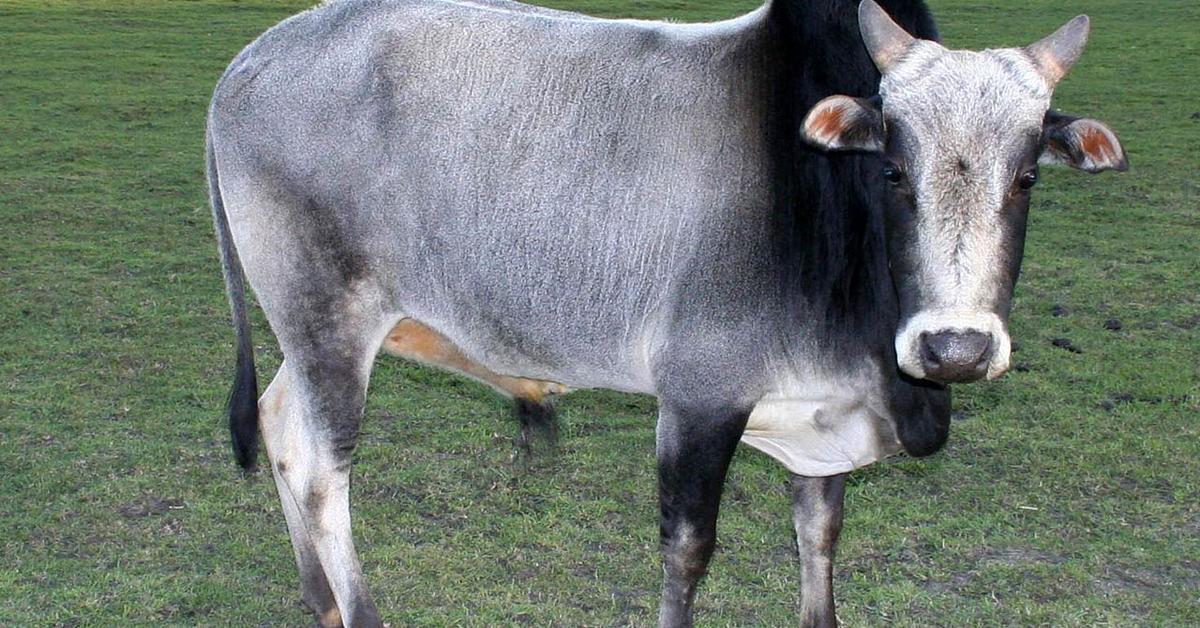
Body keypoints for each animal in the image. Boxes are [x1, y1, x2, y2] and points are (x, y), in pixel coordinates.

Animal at [206, 0, 1123, 624]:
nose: (954, 348)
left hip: (307, 332)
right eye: (893, 170)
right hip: (328, 319)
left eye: (1027, 176)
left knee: (279, 425)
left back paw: (318, 597)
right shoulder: (699, 399)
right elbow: (687, 553)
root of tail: (250, 60)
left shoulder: (819, 417)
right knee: (323, 472)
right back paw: (355, 606)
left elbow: (819, 538)